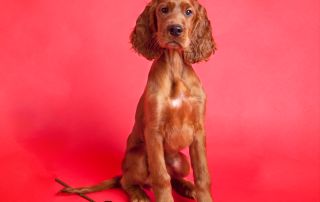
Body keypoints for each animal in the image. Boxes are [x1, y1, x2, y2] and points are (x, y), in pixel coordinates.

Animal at [62, 0, 218, 201]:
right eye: (164, 10)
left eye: (189, 12)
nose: (175, 29)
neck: (175, 66)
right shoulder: (154, 131)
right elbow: (161, 177)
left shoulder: (198, 130)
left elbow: (202, 174)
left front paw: (202, 195)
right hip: (139, 156)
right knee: (127, 180)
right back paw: (139, 195)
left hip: (181, 161)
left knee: (173, 176)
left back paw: (187, 187)